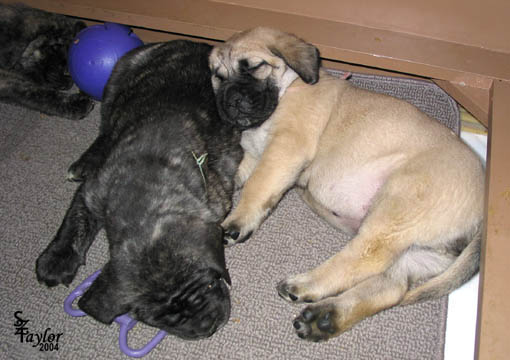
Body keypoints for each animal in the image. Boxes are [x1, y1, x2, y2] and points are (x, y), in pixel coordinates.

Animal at [36, 40, 243, 338]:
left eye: (208, 283)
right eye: (158, 319)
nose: (206, 325)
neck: (142, 195)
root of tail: (192, 43)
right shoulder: (94, 190)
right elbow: (74, 221)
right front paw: (56, 258)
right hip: (115, 84)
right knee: (104, 132)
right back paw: (85, 161)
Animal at [209, 26, 484, 342]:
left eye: (254, 67)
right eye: (218, 76)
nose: (231, 101)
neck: (289, 87)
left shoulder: (285, 148)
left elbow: (257, 186)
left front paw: (236, 221)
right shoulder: (255, 154)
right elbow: (233, 175)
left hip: (399, 204)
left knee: (366, 257)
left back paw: (306, 285)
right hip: (421, 252)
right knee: (390, 285)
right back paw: (325, 319)